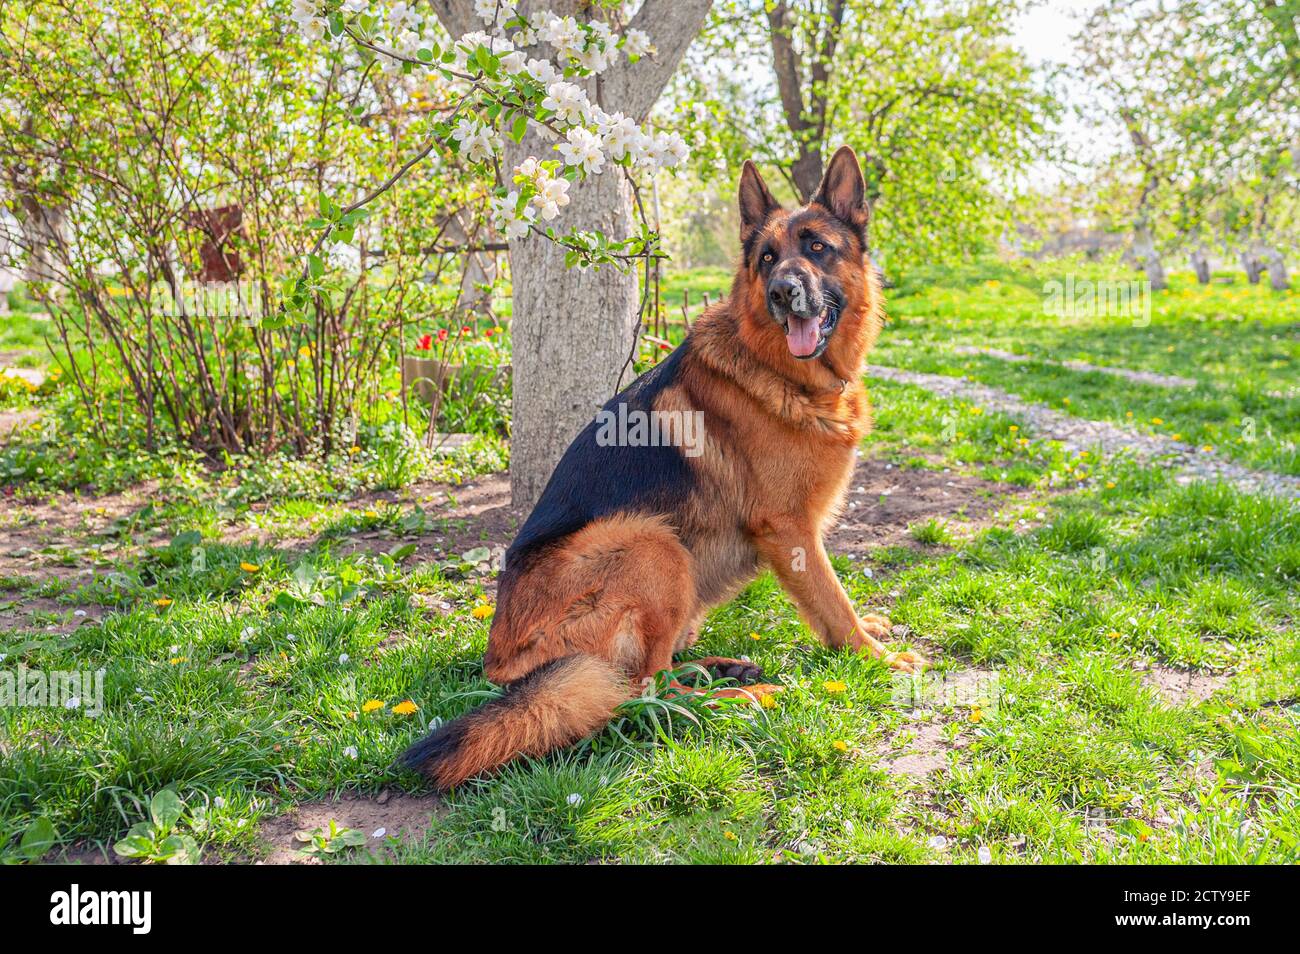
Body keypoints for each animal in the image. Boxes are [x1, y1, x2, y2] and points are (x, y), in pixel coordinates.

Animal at [403, 145, 925, 790]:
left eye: (818, 247)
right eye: (767, 258)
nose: (782, 292)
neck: (780, 372)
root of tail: (499, 665)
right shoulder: (791, 531)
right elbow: (833, 601)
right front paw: (877, 658)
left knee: (650, 677)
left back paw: (721, 670)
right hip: (652, 543)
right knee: (638, 693)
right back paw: (740, 696)